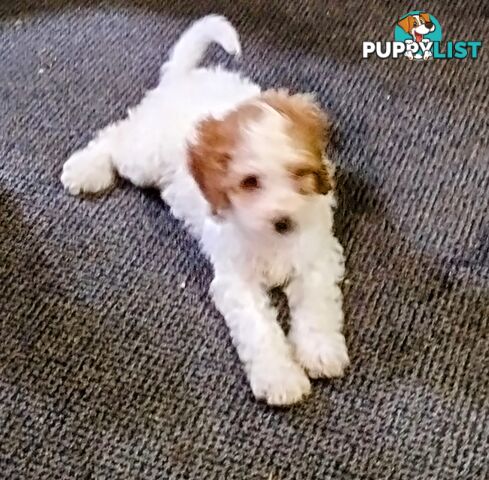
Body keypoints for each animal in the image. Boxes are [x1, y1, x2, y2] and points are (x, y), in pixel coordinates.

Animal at [61, 15, 348, 404]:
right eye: (250, 182)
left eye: (299, 174)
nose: (284, 221)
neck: (270, 240)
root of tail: (183, 79)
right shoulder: (237, 279)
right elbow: (259, 328)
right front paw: (280, 377)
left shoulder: (316, 254)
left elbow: (317, 305)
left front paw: (320, 351)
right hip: (143, 157)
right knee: (116, 137)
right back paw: (86, 168)